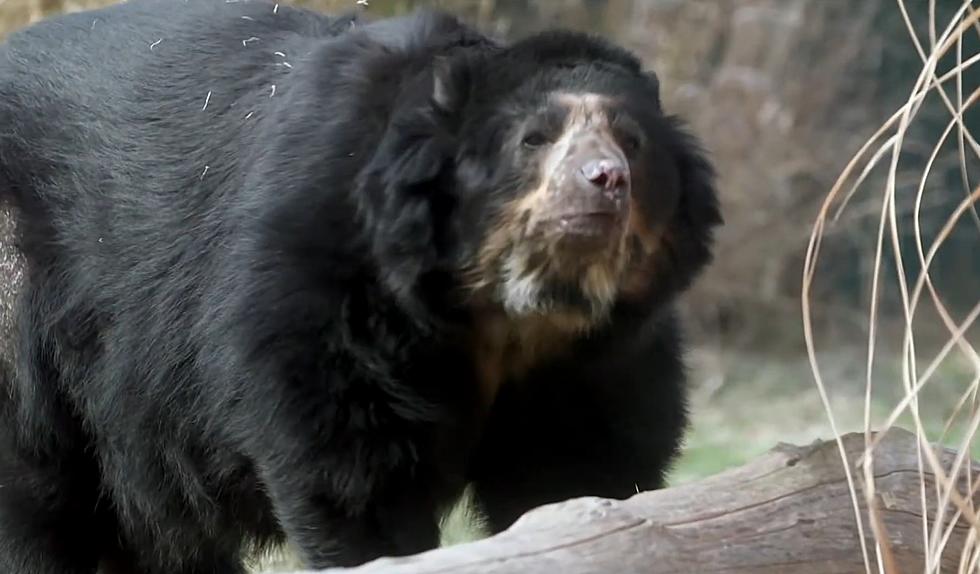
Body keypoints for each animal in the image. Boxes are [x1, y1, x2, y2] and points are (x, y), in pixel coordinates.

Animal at [0, 2, 720, 572]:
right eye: (533, 139)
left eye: (631, 140)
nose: (605, 181)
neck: (508, 310)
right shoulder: (325, 280)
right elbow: (350, 467)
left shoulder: (594, 357)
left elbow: (574, 468)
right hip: (20, 288)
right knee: (37, 491)